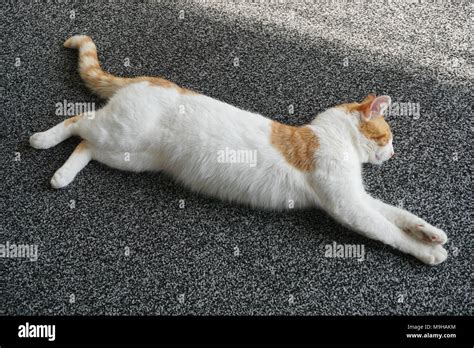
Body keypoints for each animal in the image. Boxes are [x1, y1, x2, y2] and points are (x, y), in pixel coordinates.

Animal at [30, 34, 448, 264]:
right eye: (387, 137)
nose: (392, 154)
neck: (330, 136)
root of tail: (150, 79)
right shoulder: (348, 205)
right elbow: (386, 229)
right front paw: (428, 252)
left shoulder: (358, 197)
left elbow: (398, 214)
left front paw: (430, 233)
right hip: (121, 135)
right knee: (77, 120)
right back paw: (41, 140)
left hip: (128, 155)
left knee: (85, 143)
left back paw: (62, 176)